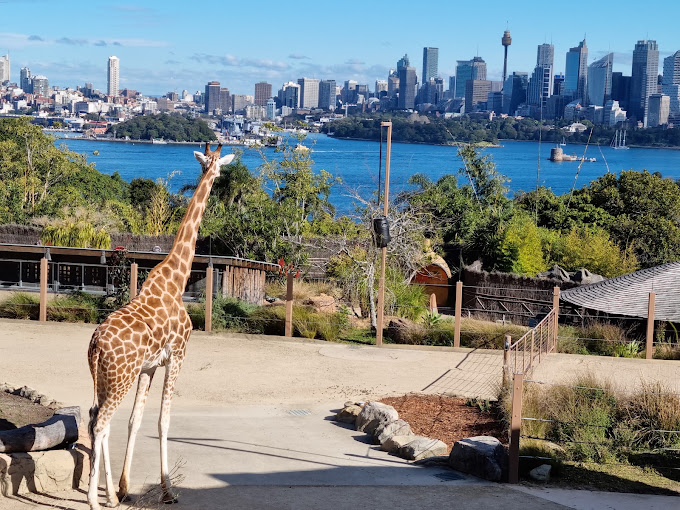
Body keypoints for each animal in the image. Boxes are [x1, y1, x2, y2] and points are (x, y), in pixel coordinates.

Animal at [86, 143, 234, 510]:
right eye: (218, 168)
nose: (215, 174)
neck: (175, 281)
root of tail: (95, 346)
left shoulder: (149, 367)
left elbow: (135, 420)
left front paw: (124, 487)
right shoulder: (178, 356)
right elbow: (163, 421)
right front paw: (167, 490)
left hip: (103, 378)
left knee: (96, 417)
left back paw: (109, 495)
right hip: (120, 378)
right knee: (101, 422)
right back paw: (94, 499)